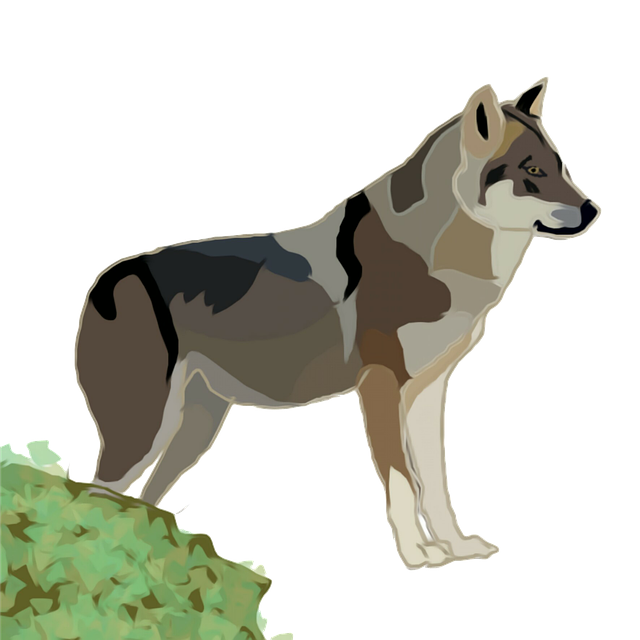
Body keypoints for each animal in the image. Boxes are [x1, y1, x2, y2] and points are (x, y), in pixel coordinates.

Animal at [75, 76, 600, 570]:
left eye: (560, 165)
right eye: (532, 171)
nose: (593, 209)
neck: (441, 256)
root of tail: (106, 279)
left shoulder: (427, 392)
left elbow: (434, 481)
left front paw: (453, 548)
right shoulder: (381, 384)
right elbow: (403, 480)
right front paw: (417, 555)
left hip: (193, 430)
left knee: (142, 500)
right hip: (144, 432)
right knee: (96, 495)